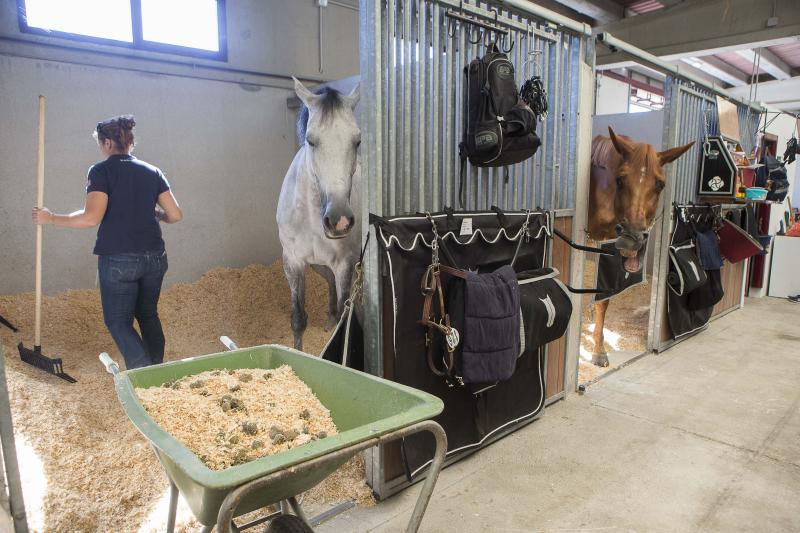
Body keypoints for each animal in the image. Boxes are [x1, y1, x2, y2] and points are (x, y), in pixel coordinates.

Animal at [276, 76, 360, 350]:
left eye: (357, 141)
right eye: (311, 141)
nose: (339, 220)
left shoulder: (345, 264)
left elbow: (346, 317)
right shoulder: (293, 262)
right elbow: (298, 320)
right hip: (317, 265)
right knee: (329, 282)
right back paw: (329, 319)